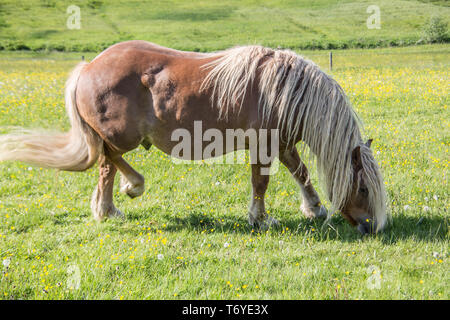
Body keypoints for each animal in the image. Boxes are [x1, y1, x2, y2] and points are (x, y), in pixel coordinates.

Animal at [0, 41, 386, 234]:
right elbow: (260, 183)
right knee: (108, 162)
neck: (283, 90)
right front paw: (261, 219)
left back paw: (115, 200)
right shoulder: (262, 147)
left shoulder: (282, 144)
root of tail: (89, 67)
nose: (373, 228)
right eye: (363, 188)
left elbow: (301, 173)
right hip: (120, 137)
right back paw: (120, 198)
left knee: (107, 163)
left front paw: (314, 208)